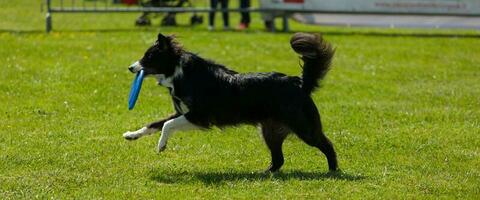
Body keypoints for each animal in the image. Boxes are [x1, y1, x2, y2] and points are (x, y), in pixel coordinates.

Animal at [123, 32, 338, 172]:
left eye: (149, 56)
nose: (130, 67)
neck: (179, 72)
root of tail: (299, 83)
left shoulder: (199, 116)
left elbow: (167, 124)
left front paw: (161, 145)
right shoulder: (182, 113)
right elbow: (155, 123)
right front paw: (132, 134)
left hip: (303, 127)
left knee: (327, 144)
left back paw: (333, 170)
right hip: (270, 131)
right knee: (279, 159)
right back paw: (265, 173)